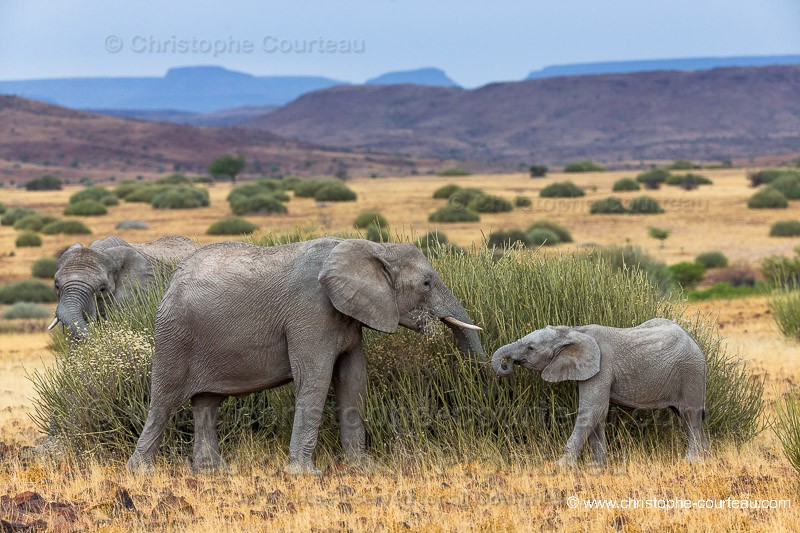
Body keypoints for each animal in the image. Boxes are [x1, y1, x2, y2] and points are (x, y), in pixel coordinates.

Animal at [128, 237, 484, 474]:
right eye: (426, 283)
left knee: (206, 403)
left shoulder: (347, 317)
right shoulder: (310, 313)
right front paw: (305, 475)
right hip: (175, 335)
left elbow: (353, 379)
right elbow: (316, 379)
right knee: (163, 401)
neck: (373, 247)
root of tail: (171, 282)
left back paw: (214, 472)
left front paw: (361, 468)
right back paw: (141, 472)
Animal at [490, 318, 708, 464]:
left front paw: (560, 466)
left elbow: (592, 409)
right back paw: (707, 457)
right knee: (686, 416)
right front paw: (598, 466)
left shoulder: (602, 366)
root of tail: (695, 341)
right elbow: (598, 414)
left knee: (690, 415)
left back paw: (692, 461)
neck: (573, 331)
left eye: (530, 348)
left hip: (691, 371)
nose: (507, 364)